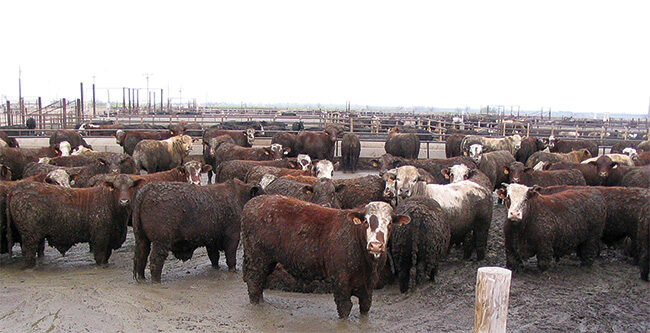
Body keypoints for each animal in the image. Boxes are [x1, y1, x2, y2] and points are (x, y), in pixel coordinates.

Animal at [240, 196, 408, 318]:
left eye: (390, 223)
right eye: (366, 221)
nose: (375, 245)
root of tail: (252, 202)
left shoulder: (369, 285)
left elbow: (365, 307)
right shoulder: (340, 280)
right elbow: (344, 308)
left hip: (267, 261)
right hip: (256, 257)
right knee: (254, 282)